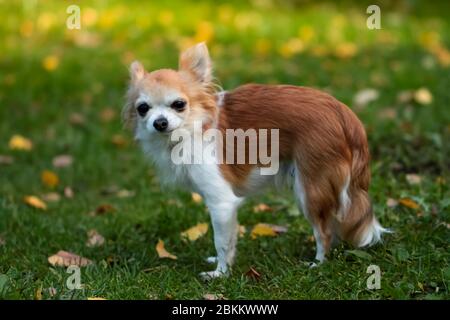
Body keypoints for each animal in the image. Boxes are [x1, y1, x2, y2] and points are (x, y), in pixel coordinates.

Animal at [122, 43, 386, 280]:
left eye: (179, 104)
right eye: (143, 108)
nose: (160, 122)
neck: (192, 128)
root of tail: (346, 116)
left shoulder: (221, 202)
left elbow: (221, 241)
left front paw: (220, 273)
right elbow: (230, 240)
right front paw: (222, 264)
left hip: (310, 189)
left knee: (324, 231)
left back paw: (318, 263)